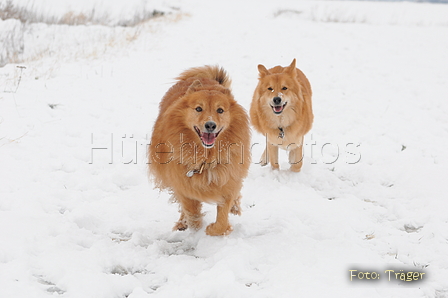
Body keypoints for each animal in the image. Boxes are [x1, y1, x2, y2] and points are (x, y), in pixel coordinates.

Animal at [149, 65, 250, 235]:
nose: (210, 125)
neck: (206, 156)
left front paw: (213, 230)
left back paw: (235, 207)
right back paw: (182, 223)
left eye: (220, 110)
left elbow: (223, 214)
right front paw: (196, 227)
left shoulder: (227, 178)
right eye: (198, 109)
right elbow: (192, 211)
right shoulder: (182, 183)